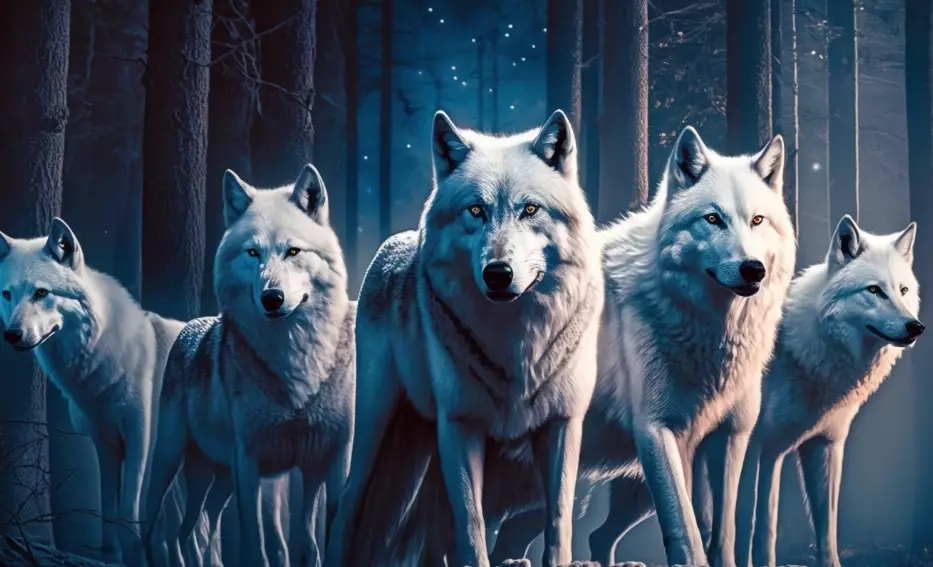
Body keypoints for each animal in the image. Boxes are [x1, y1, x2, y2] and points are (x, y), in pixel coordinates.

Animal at [0, 218, 217, 567]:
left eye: (41, 293)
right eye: (7, 294)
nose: (12, 335)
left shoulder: (140, 441)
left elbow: (130, 516)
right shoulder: (105, 445)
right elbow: (109, 516)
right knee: (186, 533)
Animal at [141, 163, 356, 567]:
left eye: (292, 251)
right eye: (252, 252)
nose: (272, 298)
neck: (294, 362)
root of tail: (190, 326)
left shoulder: (328, 461)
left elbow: (314, 541)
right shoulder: (249, 463)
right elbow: (255, 545)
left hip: (219, 476)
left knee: (197, 527)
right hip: (173, 457)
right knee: (153, 521)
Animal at [324, 109, 604, 567]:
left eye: (530, 209)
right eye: (476, 210)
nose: (498, 273)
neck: (515, 342)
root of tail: (390, 244)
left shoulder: (563, 423)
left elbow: (558, 518)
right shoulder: (460, 425)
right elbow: (471, 526)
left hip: (421, 442)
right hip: (376, 428)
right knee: (348, 503)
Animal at [486, 126, 796, 567]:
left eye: (757, 220)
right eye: (713, 219)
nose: (753, 269)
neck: (711, 331)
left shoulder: (729, 437)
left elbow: (721, 534)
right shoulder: (656, 431)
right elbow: (686, 532)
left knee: (582, 535)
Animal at [734, 215, 923, 567]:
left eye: (903, 290)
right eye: (874, 290)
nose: (915, 327)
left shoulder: (823, 446)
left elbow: (824, 529)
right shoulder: (760, 450)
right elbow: (755, 527)